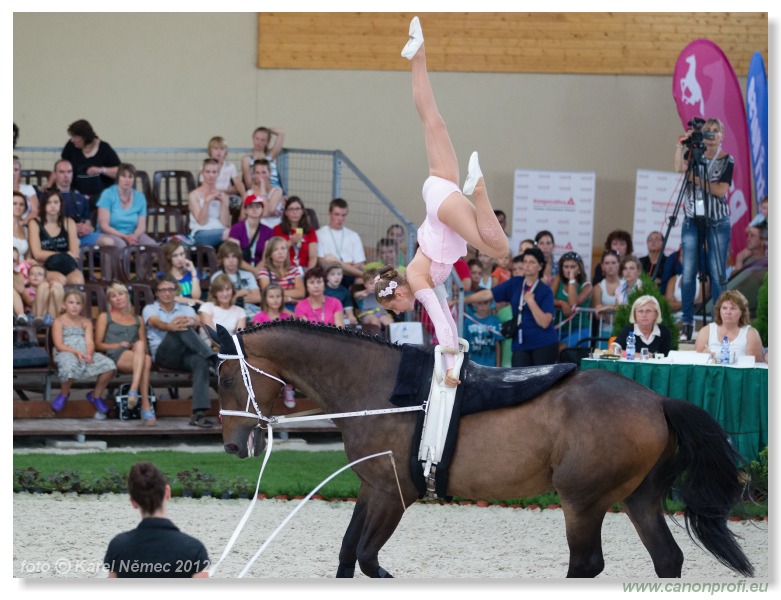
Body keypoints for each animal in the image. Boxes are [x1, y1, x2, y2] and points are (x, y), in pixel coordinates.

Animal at [210, 322, 752, 580]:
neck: (377, 386)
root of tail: (657, 399)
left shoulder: (393, 495)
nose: (231, 445)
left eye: (225, 377)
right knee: (667, 560)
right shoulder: (373, 488)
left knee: (586, 565)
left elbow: (366, 557)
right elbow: (348, 555)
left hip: (582, 503)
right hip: (638, 499)